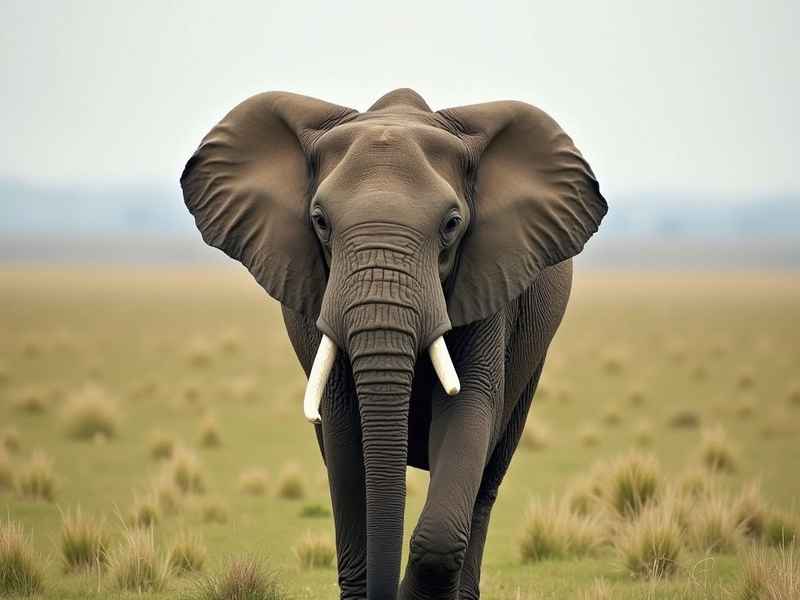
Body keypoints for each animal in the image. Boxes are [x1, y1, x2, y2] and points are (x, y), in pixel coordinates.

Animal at [180, 88, 607, 600]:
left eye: (452, 224)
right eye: (320, 221)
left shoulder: (489, 280)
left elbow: (469, 409)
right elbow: (346, 440)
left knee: (488, 478)